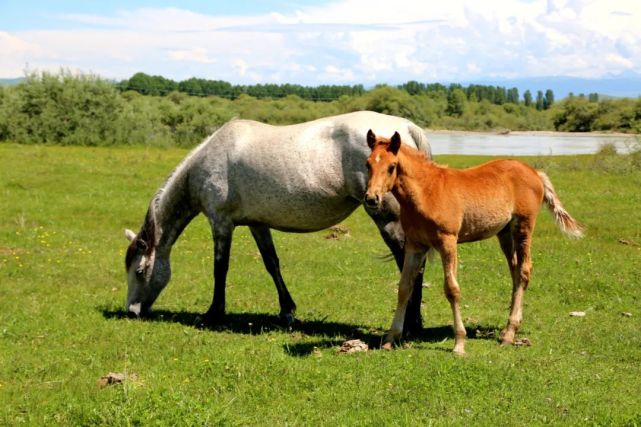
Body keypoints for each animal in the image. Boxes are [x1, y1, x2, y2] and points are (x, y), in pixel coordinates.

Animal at [123, 112, 430, 330]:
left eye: (139, 271)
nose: (132, 312)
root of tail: (405, 126)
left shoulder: (221, 224)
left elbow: (220, 268)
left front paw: (213, 313)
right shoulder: (258, 224)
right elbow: (272, 264)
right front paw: (287, 311)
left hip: (386, 218)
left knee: (409, 262)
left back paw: (410, 325)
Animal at [362, 130, 584, 354]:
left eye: (392, 166)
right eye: (368, 164)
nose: (372, 198)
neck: (426, 191)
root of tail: (535, 172)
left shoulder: (448, 241)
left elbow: (452, 289)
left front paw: (459, 343)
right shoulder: (415, 245)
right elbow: (404, 287)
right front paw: (391, 338)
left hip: (523, 227)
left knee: (523, 271)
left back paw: (510, 333)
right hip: (504, 233)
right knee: (514, 271)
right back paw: (508, 330)